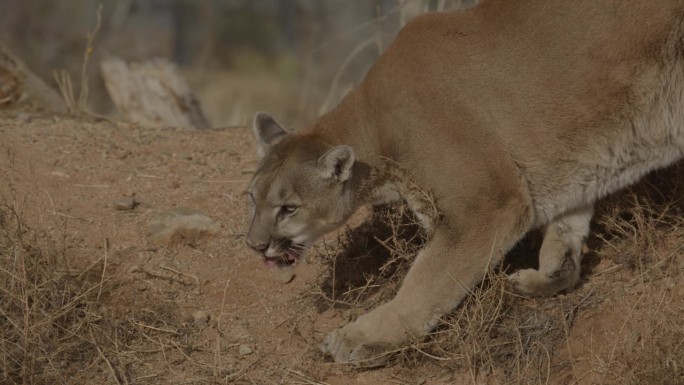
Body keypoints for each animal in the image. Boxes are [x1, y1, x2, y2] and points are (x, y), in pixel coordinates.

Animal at [244, 0, 684, 364]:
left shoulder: (488, 203)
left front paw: (363, 338)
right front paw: (546, 277)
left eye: (288, 209)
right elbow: (567, 230)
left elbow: (426, 281)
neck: (374, 127)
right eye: (252, 199)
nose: (255, 245)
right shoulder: (572, 164)